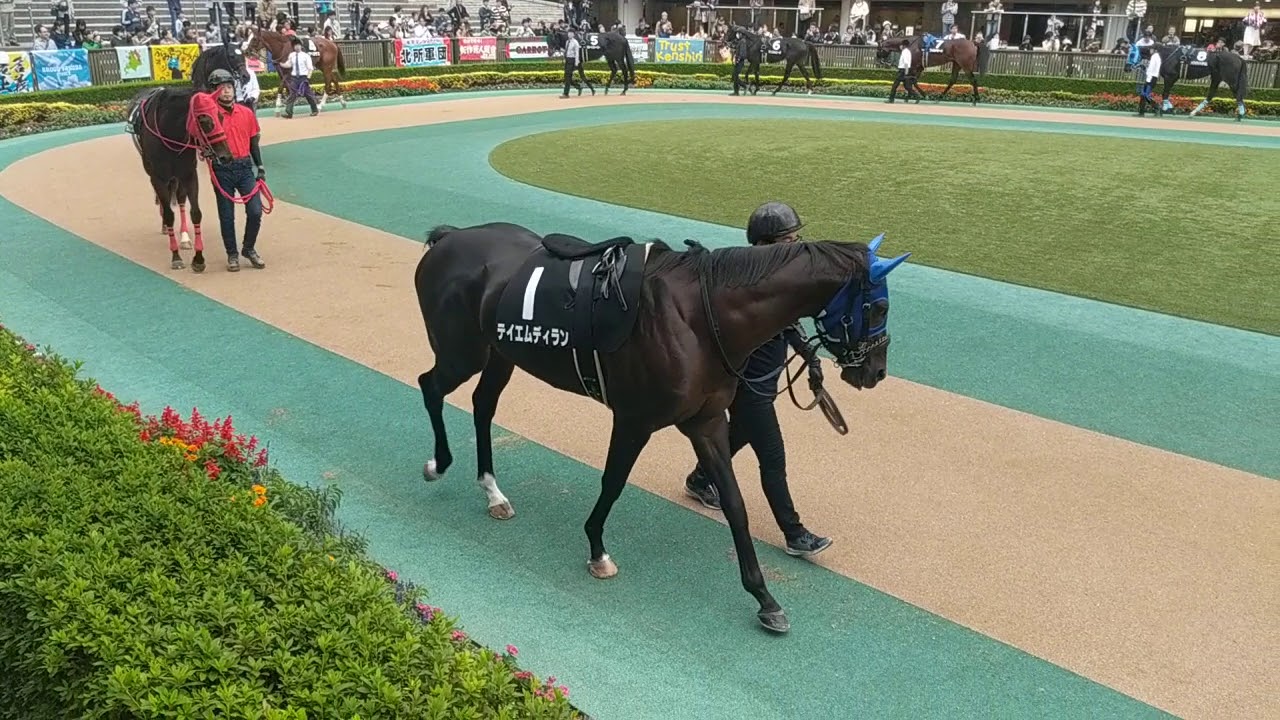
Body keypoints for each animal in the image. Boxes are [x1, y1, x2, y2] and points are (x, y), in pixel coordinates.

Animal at [126, 84, 235, 274]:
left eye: (220, 116)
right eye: (203, 120)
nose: (226, 156)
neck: (170, 132)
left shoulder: (189, 175)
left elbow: (196, 213)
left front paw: (198, 259)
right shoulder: (158, 177)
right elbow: (169, 214)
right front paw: (176, 257)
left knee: (181, 199)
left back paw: (184, 237)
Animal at [412, 221, 911, 630]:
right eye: (879, 308)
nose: (876, 372)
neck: (699, 318)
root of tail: (449, 238)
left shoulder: (706, 422)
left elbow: (735, 504)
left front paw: (764, 598)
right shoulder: (635, 419)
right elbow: (613, 482)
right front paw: (597, 550)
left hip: (499, 354)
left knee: (482, 406)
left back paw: (493, 492)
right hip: (462, 352)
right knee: (430, 385)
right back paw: (439, 463)